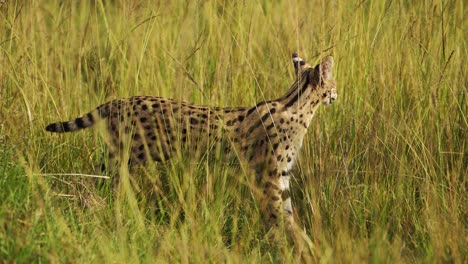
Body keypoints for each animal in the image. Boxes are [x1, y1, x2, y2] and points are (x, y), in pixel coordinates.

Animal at [47, 52, 336, 230]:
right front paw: (295, 242)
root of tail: (120, 100)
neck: (296, 102)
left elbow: (285, 210)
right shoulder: (271, 175)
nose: (336, 94)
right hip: (124, 157)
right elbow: (281, 214)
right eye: (333, 84)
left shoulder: (280, 176)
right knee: (104, 184)